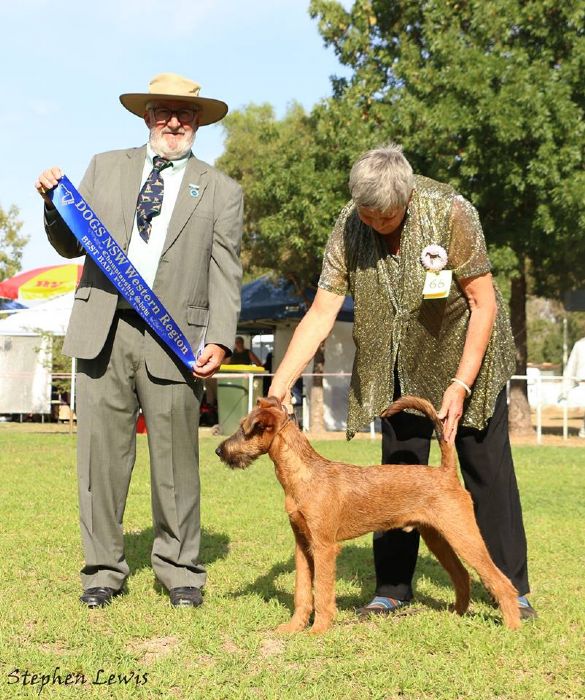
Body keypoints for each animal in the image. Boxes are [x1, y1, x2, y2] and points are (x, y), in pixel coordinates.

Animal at [215, 396, 521, 633]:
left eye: (245, 429)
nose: (219, 450)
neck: (304, 475)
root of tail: (446, 472)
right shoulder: (303, 545)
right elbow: (302, 593)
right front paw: (293, 628)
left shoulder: (324, 547)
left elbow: (322, 592)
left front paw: (318, 630)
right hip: (438, 538)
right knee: (462, 575)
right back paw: (456, 616)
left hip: (464, 536)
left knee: (501, 582)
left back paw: (512, 627)